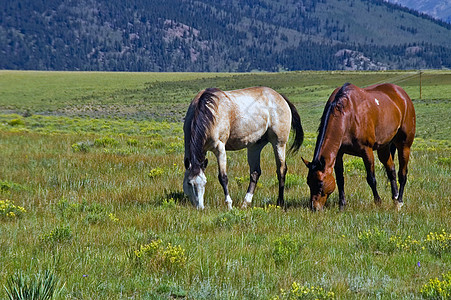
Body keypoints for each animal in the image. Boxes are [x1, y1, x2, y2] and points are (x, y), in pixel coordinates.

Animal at [304, 82, 416, 211]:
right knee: (391, 170)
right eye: (308, 182)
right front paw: (342, 205)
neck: (348, 115)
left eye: (320, 183)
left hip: (404, 146)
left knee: (402, 174)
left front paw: (378, 202)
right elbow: (340, 179)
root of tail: (403, 95)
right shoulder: (339, 154)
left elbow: (371, 179)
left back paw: (400, 202)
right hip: (383, 147)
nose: (314, 207)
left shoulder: (366, 151)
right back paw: (395, 197)